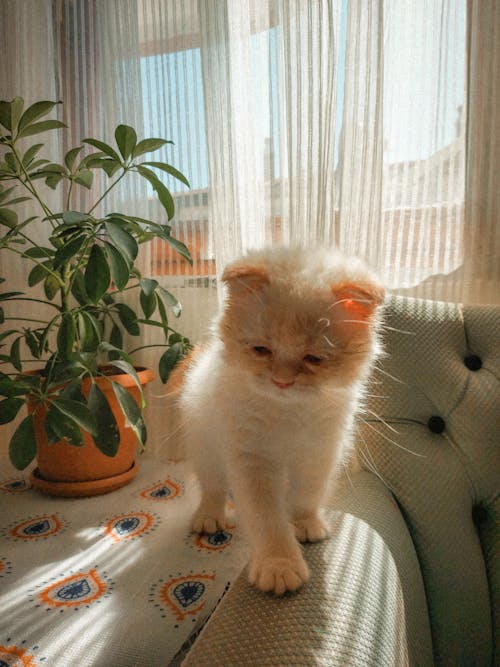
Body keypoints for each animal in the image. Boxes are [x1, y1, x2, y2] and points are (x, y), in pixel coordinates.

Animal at [170, 248, 384, 596]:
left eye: (314, 359)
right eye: (261, 350)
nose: (282, 381)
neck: (289, 414)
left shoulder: (318, 453)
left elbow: (306, 496)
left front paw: (305, 524)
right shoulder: (252, 459)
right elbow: (267, 519)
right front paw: (279, 566)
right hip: (206, 446)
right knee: (213, 487)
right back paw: (208, 518)